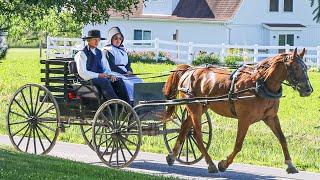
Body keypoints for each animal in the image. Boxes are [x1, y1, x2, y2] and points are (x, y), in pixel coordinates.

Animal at [162, 47, 312, 173]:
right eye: (296, 67)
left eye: (306, 67)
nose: (308, 89)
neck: (259, 84)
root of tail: (189, 70)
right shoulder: (244, 119)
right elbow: (239, 145)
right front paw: (223, 164)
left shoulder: (270, 117)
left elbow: (282, 138)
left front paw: (290, 164)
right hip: (195, 108)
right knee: (197, 134)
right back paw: (210, 163)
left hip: (201, 107)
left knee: (185, 127)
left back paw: (172, 155)